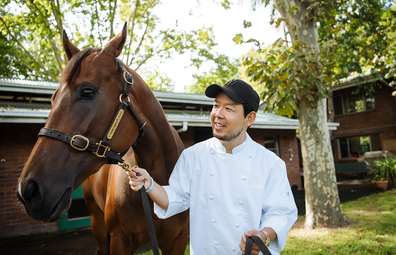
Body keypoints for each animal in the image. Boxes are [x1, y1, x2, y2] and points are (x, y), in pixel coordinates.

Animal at [18, 22, 190, 254]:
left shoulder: (178, 241)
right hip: (97, 224)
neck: (162, 186)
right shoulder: (120, 240)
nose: (28, 190)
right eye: (53, 98)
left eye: (87, 91)